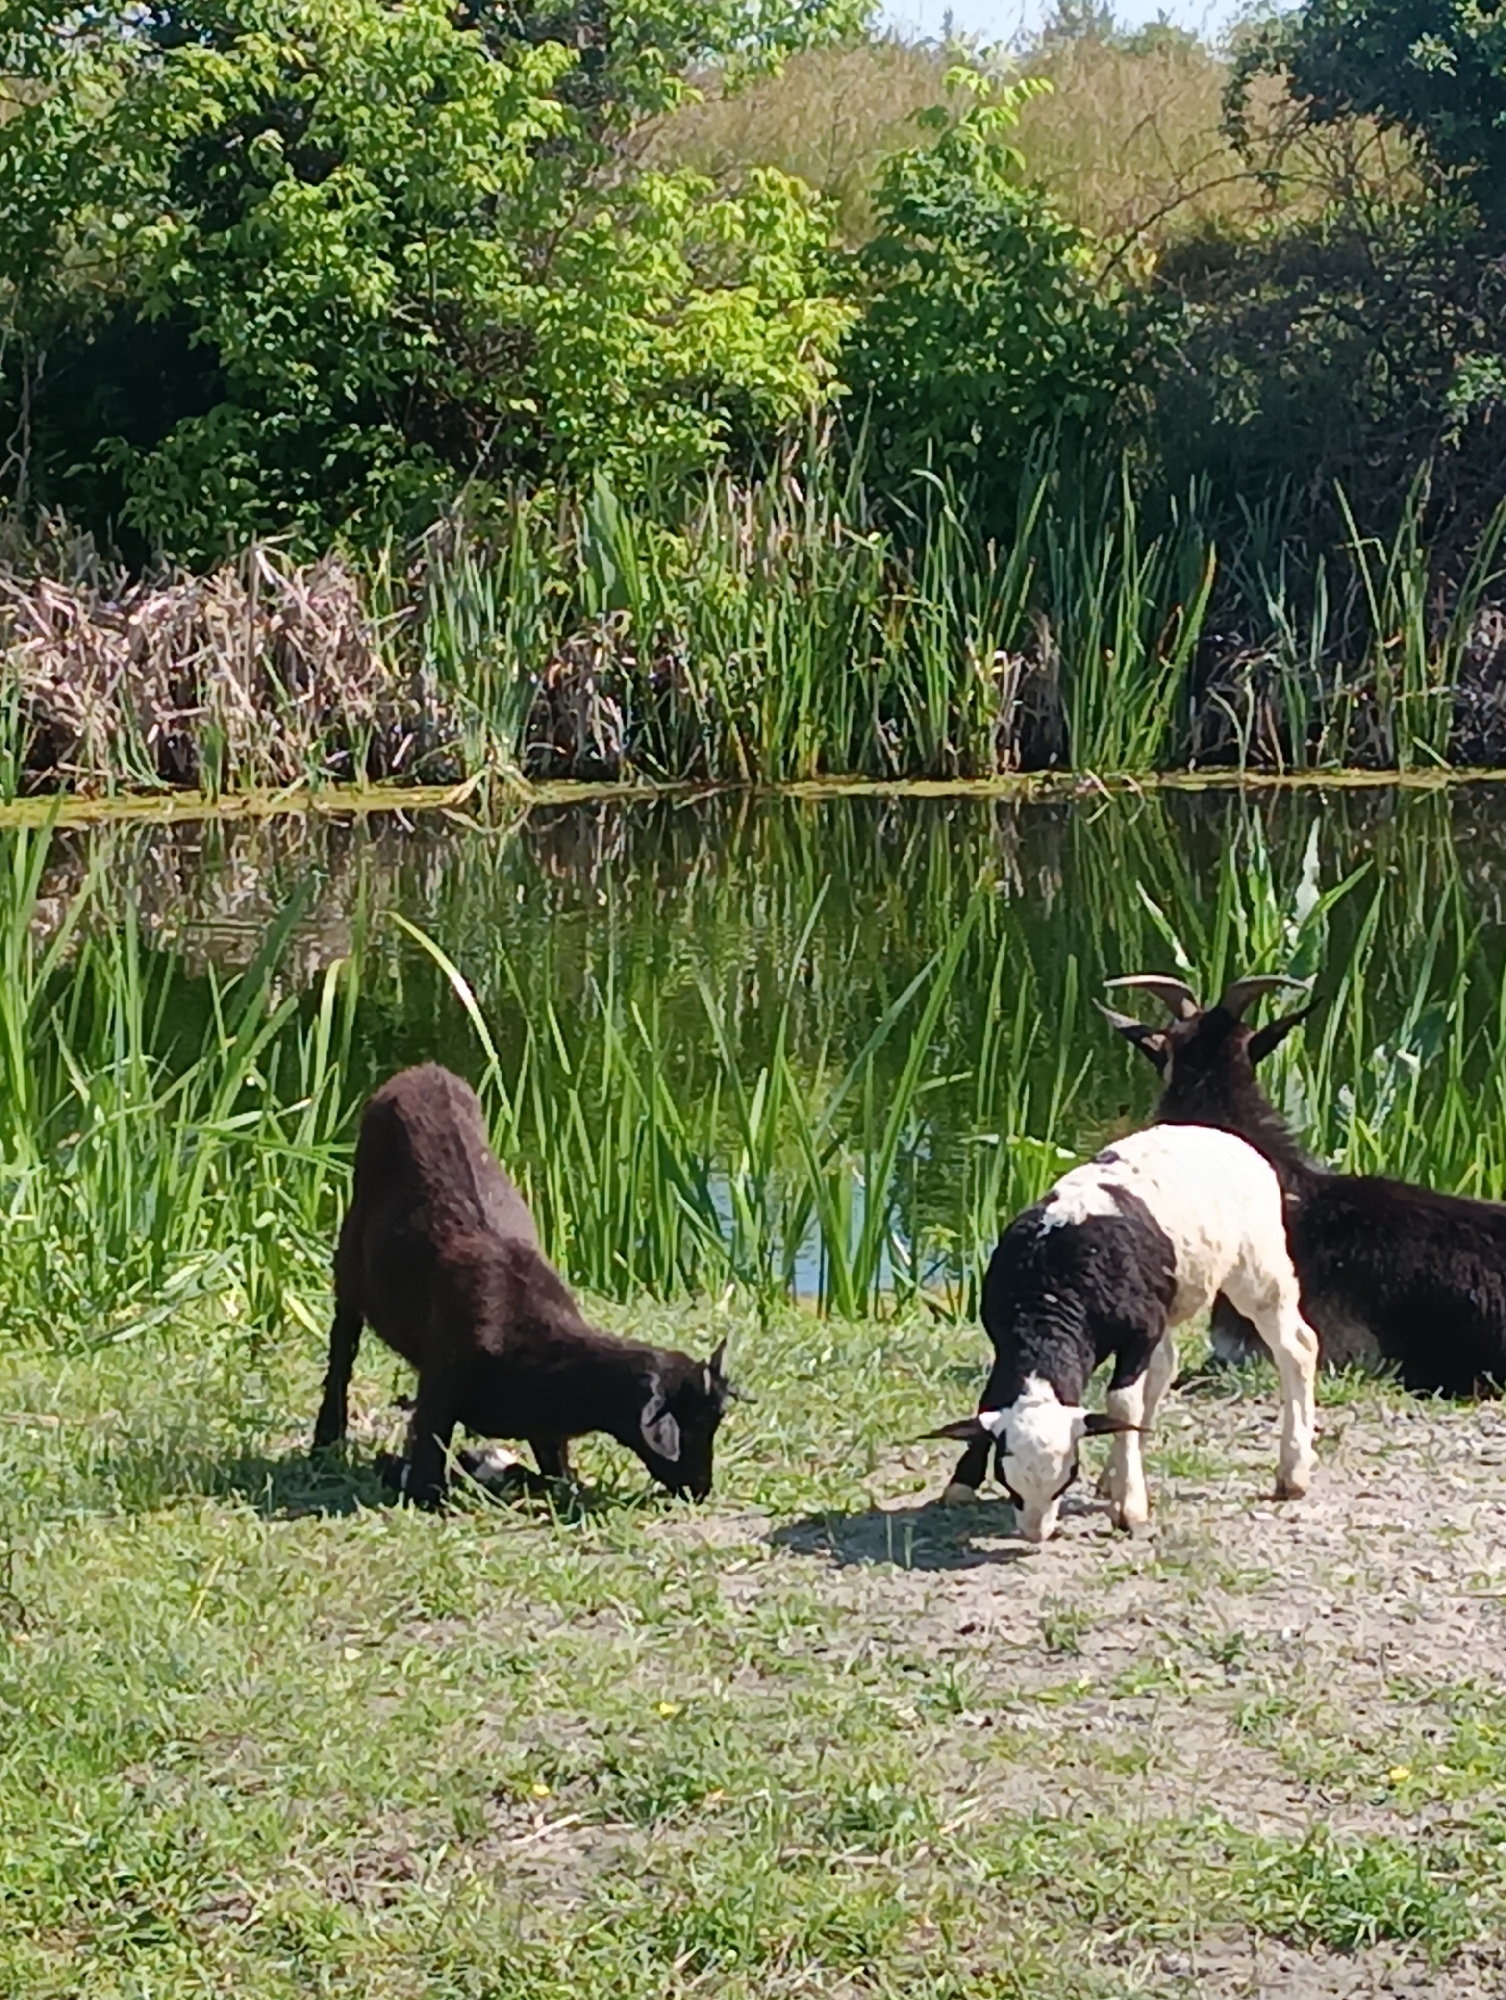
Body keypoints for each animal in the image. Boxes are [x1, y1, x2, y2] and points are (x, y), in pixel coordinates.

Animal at [312, 1063, 735, 1504]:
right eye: (691, 1425)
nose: (702, 1488)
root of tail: (423, 1071)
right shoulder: (440, 1384)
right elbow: (426, 1473)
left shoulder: (544, 1424)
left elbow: (556, 1472)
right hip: (348, 1263)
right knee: (342, 1350)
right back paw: (326, 1441)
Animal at [927, 1123, 1319, 1542]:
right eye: (1007, 1480)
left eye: (1068, 1478)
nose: (1036, 1533)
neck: (1050, 1296)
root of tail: (1218, 1134)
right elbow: (990, 1399)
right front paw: (961, 1482)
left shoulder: (1140, 1332)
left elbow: (1122, 1403)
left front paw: (1129, 1506)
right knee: (1165, 1368)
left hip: (1260, 1268)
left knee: (1298, 1347)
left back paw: (1293, 1471)